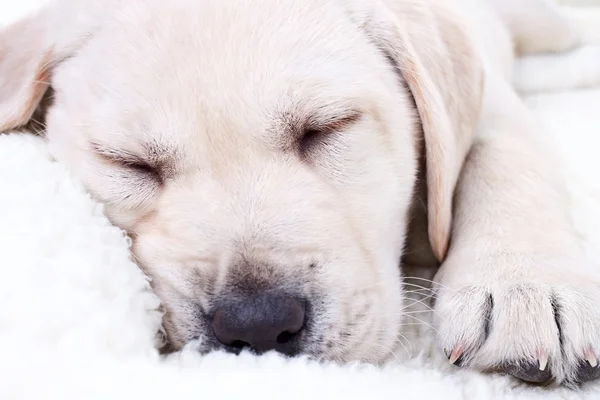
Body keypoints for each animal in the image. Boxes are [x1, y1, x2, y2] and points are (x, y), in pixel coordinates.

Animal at [1, 0, 600, 386]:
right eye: (130, 164)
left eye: (326, 128)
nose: (258, 323)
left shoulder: (491, 97)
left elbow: (501, 154)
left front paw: (525, 283)